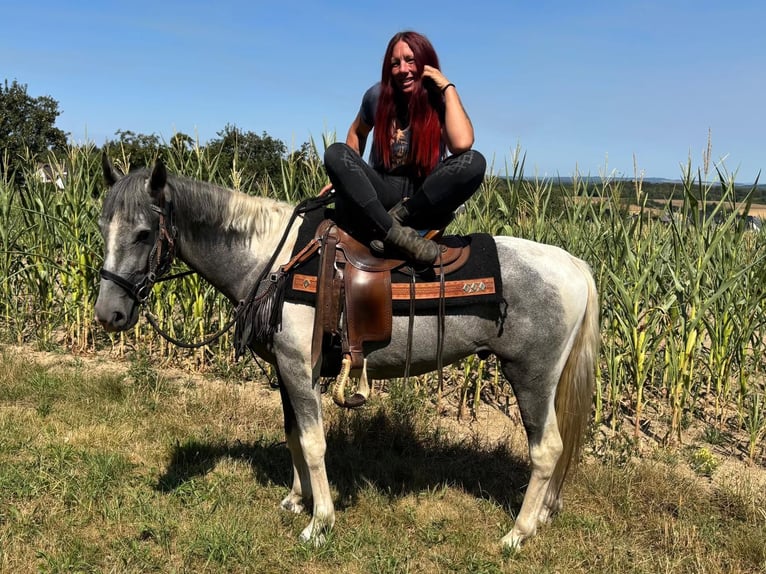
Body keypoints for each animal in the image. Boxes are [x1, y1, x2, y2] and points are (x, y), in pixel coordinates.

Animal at [94, 154, 600, 549]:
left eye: (143, 233)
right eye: (102, 228)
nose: (108, 314)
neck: (274, 261)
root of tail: (574, 265)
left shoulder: (300, 367)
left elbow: (314, 441)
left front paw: (320, 523)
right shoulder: (286, 370)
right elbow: (293, 434)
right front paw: (297, 500)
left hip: (531, 376)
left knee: (547, 449)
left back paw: (517, 533)